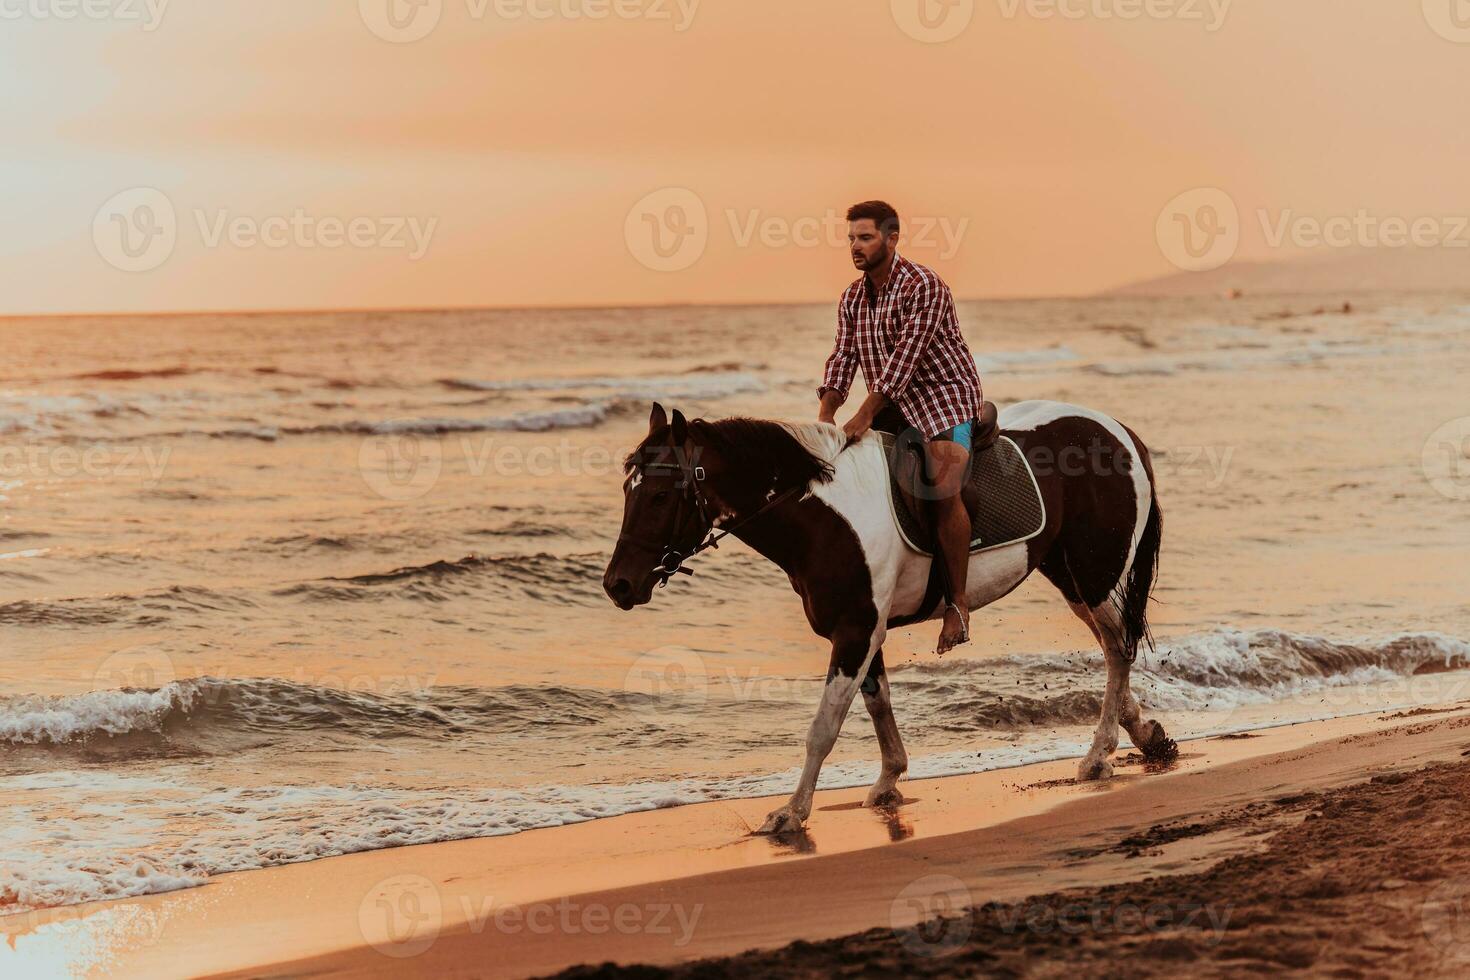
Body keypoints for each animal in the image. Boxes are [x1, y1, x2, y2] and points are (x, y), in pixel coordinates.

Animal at [599, 399, 1170, 834]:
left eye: (658, 495)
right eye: (628, 490)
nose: (618, 585)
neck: (822, 514)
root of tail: (1120, 433)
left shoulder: (854, 633)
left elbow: (823, 727)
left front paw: (791, 812)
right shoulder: (861, 630)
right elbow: (878, 705)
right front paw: (889, 779)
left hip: (1094, 576)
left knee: (1117, 650)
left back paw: (1098, 755)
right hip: (1070, 576)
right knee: (1114, 648)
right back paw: (1144, 734)